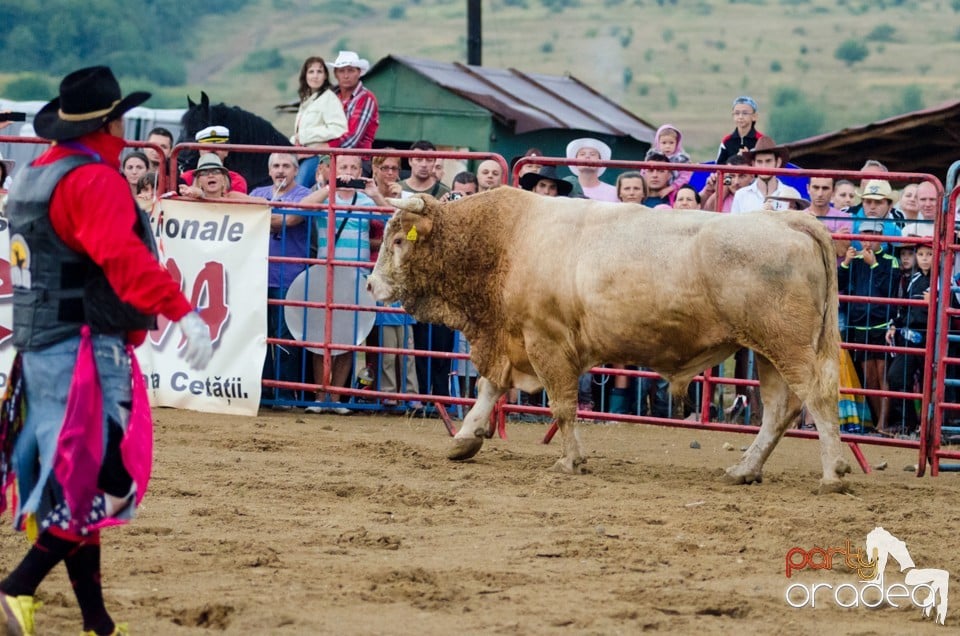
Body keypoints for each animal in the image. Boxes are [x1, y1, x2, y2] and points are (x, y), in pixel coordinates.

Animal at [366, 186, 848, 494]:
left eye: (397, 240)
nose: (371, 286)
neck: (506, 241)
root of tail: (788, 218)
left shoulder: (546, 341)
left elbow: (562, 406)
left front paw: (570, 460)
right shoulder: (512, 339)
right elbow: (489, 388)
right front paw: (466, 438)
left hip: (789, 347)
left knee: (818, 397)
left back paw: (832, 474)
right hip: (769, 351)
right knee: (780, 409)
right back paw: (745, 469)